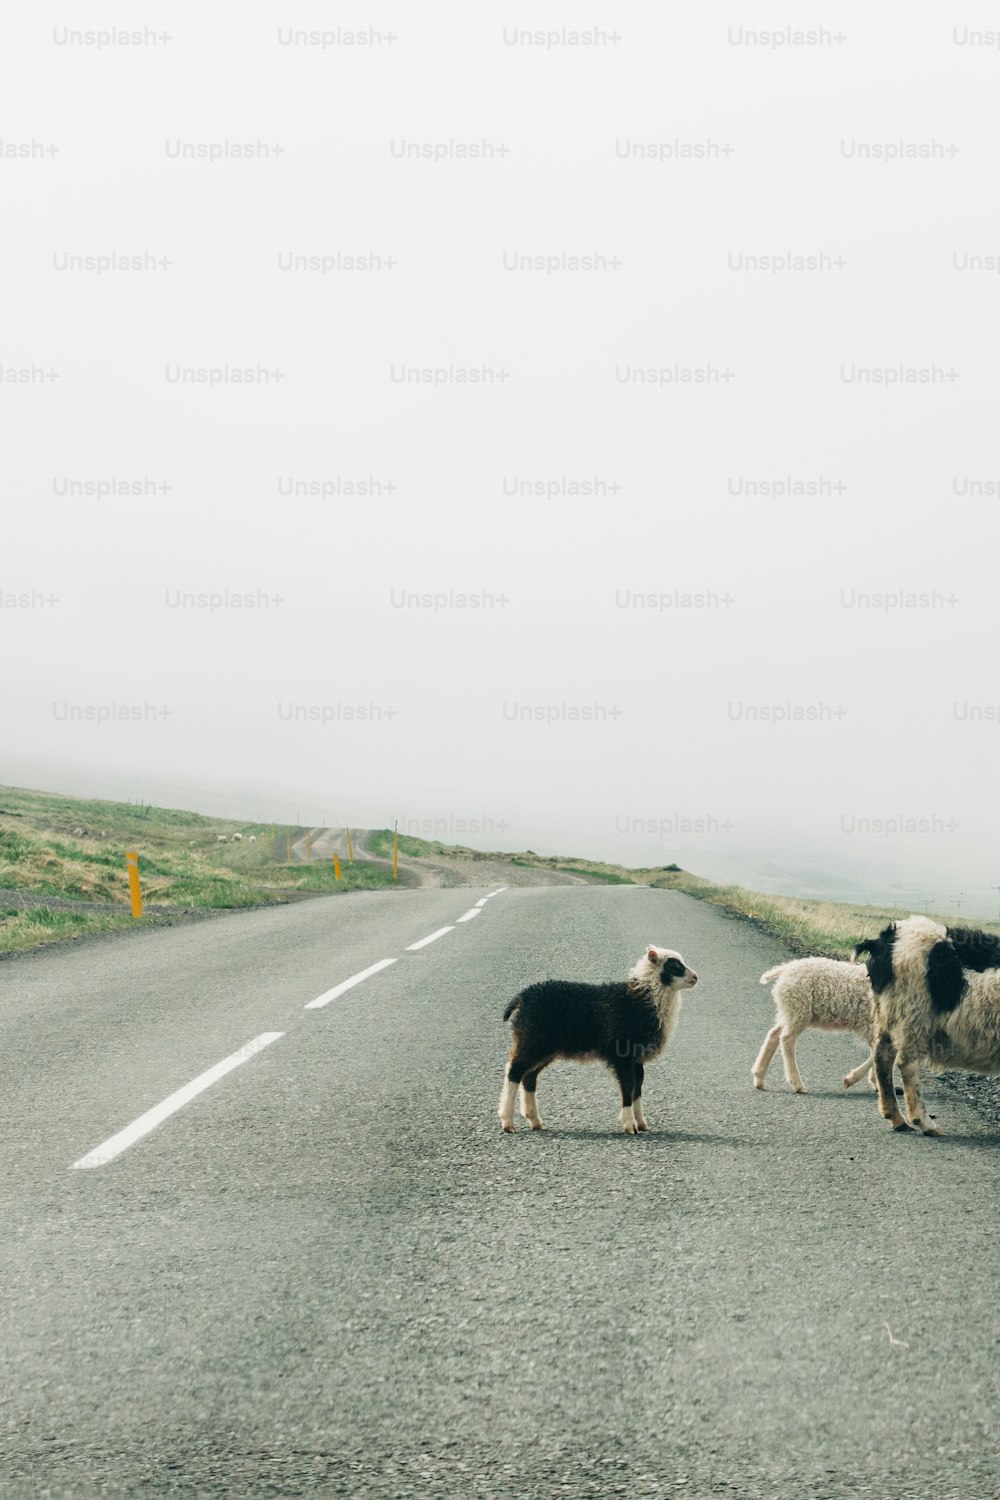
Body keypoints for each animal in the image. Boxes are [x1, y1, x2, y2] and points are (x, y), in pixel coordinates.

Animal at [755, 960, 881, 1092]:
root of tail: (786, 968)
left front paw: (875, 1081)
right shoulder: (872, 1024)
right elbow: (877, 1051)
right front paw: (852, 1079)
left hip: (790, 1011)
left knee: (774, 1034)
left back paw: (758, 1078)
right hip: (799, 1009)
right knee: (786, 1039)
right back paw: (797, 1084)